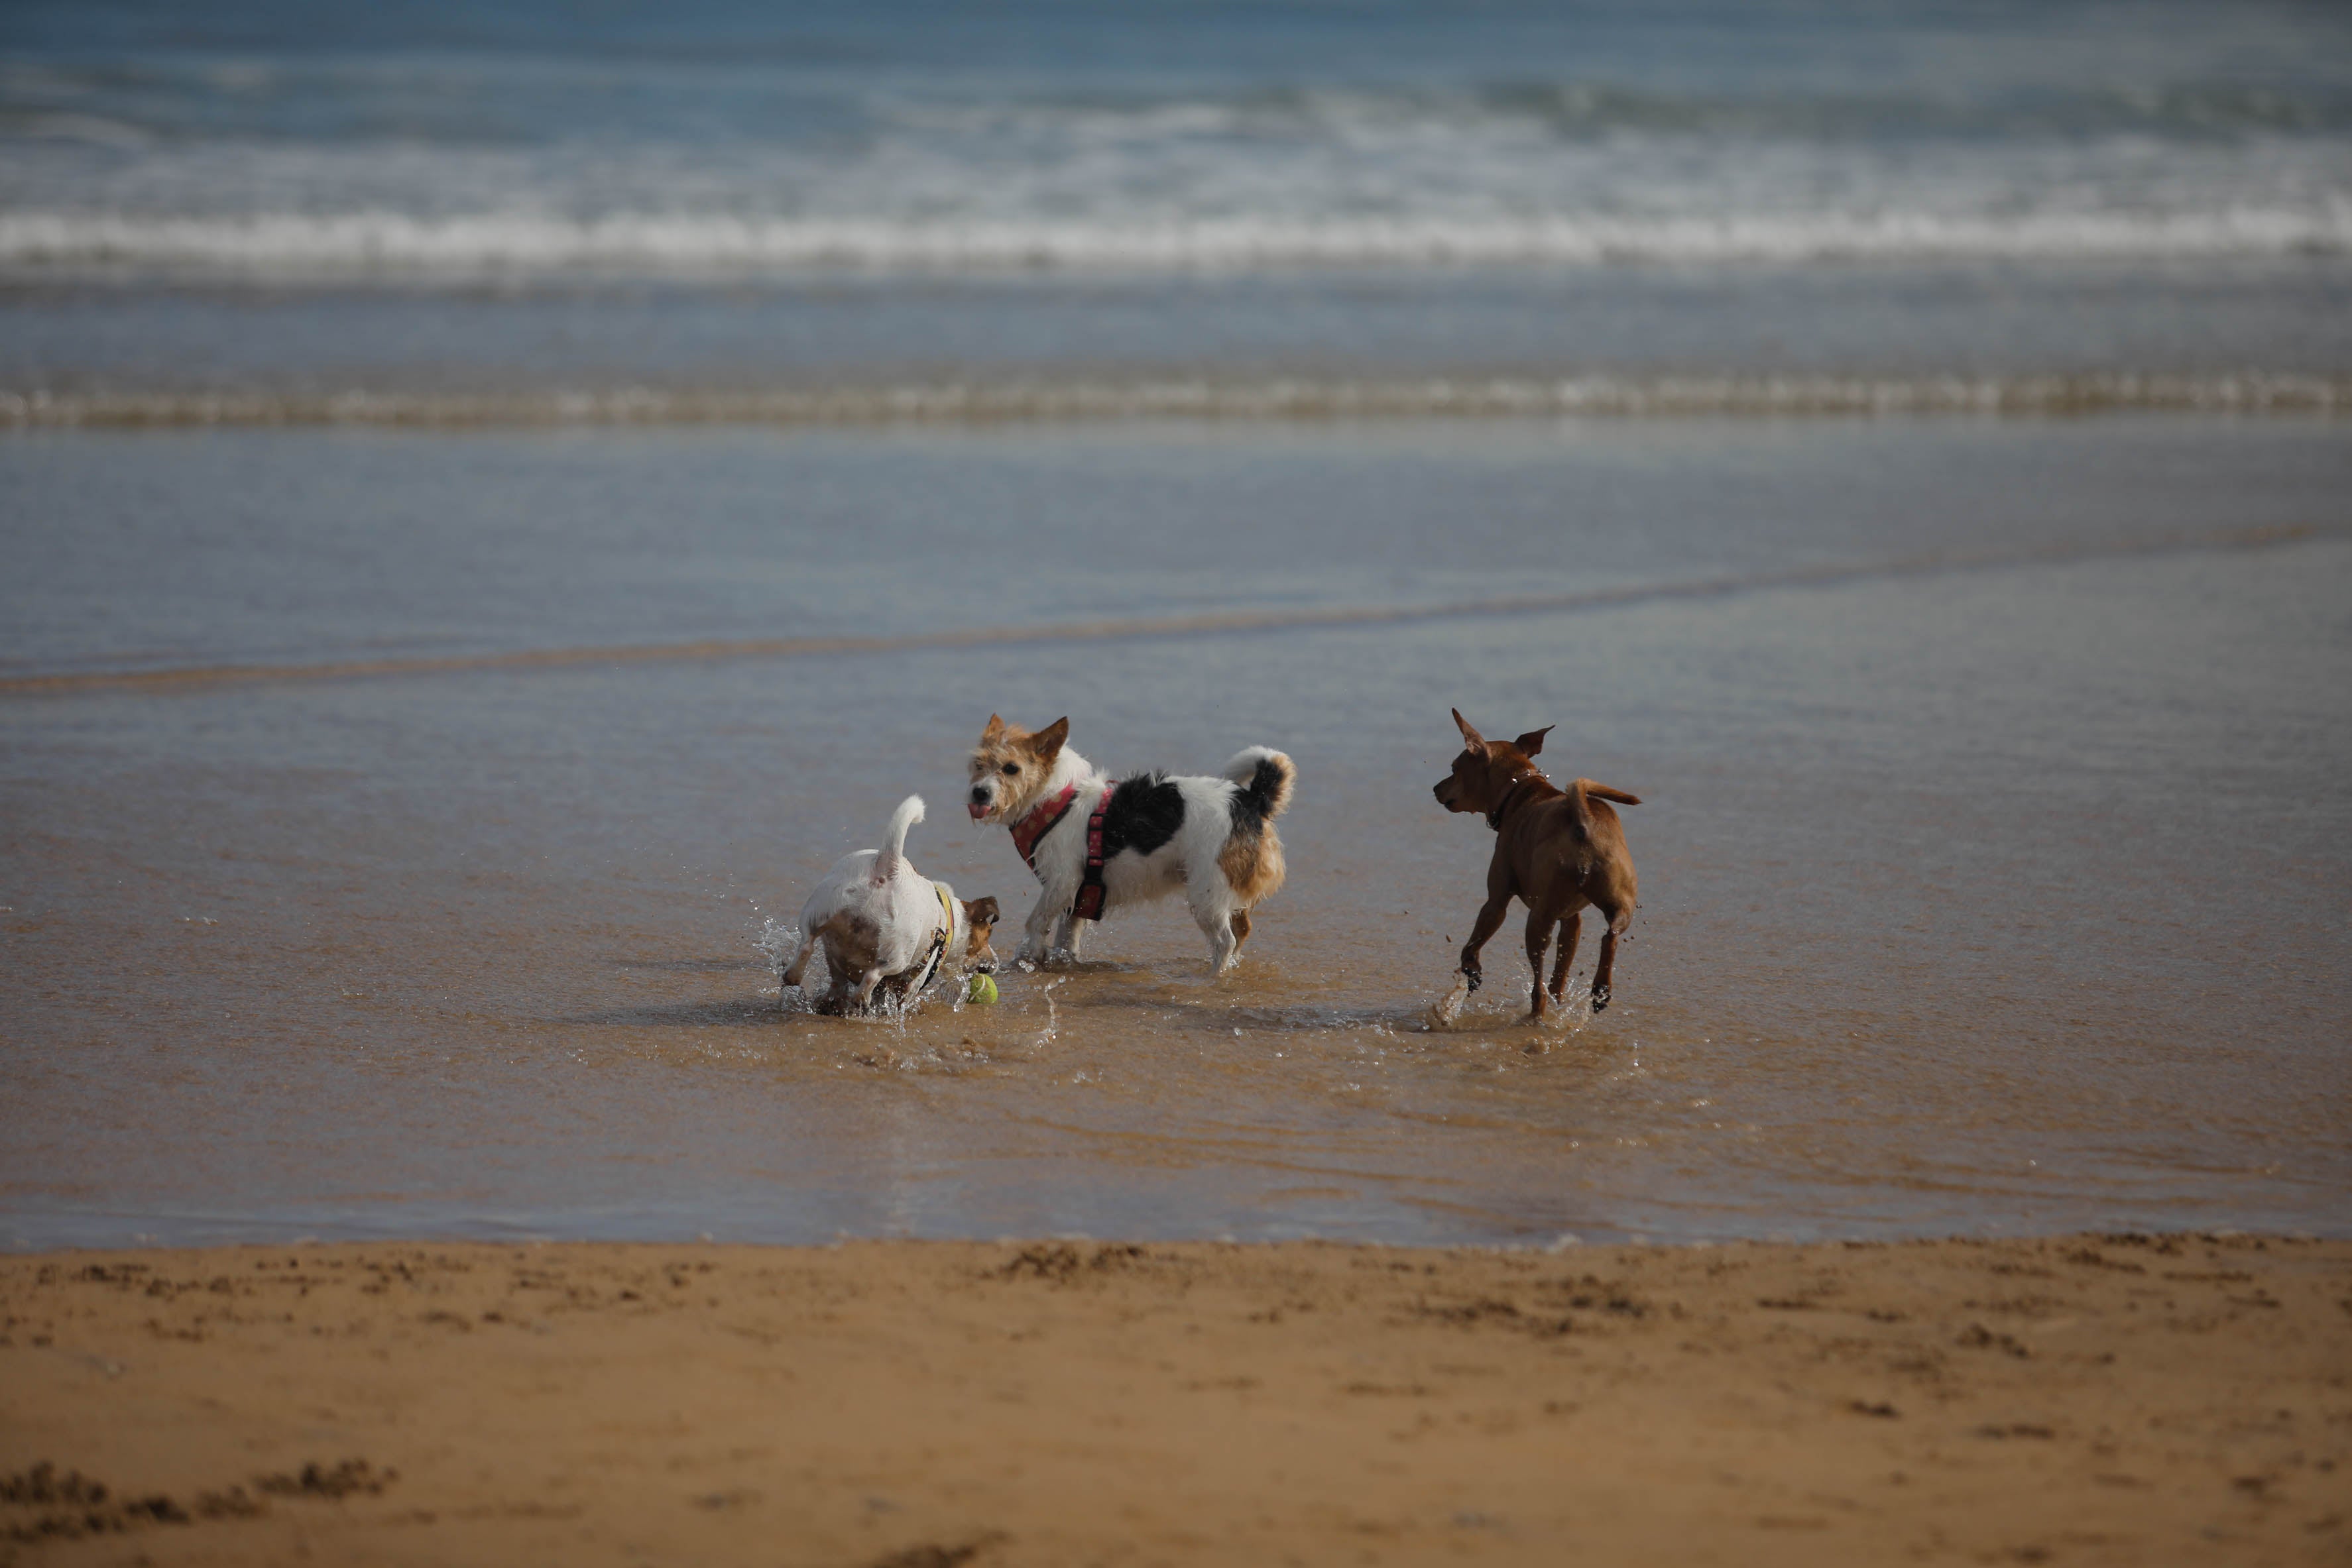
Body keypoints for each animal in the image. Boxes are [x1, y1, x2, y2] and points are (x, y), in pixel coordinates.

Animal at [786, 799, 997, 1020]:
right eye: (988, 935)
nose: (995, 963)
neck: (949, 919)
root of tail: (888, 864)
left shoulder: (835, 961)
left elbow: (837, 984)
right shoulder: (912, 983)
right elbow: (901, 998)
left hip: (819, 911)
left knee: (807, 943)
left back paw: (793, 975)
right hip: (897, 952)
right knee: (874, 974)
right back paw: (862, 999)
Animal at [955, 719, 1298, 968]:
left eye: (1012, 768)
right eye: (978, 765)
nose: (979, 793)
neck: (1055, 798)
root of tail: (1251, 800)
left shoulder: (1062, 883)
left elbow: (1036, 921)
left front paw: (1029, 955)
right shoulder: (1080, 894)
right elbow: (1068, 935)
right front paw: (1064, 962)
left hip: (1207, 893)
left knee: (1225, 940)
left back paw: (1215, 974)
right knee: (1242, 931)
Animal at [1420, 710, 1646, 1020]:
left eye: (1454, 768)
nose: (1435, 788)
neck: (1520, 791)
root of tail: (1584, 824)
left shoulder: (1496, 902)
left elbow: (1472, 945)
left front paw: (1473, 971)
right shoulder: (1571, 919)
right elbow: (1560, 973)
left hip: (1538, 920)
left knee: (1538, 984)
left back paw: (1536, 1012)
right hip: (1618, 903)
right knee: (1609, 937)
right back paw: (1600, 990)